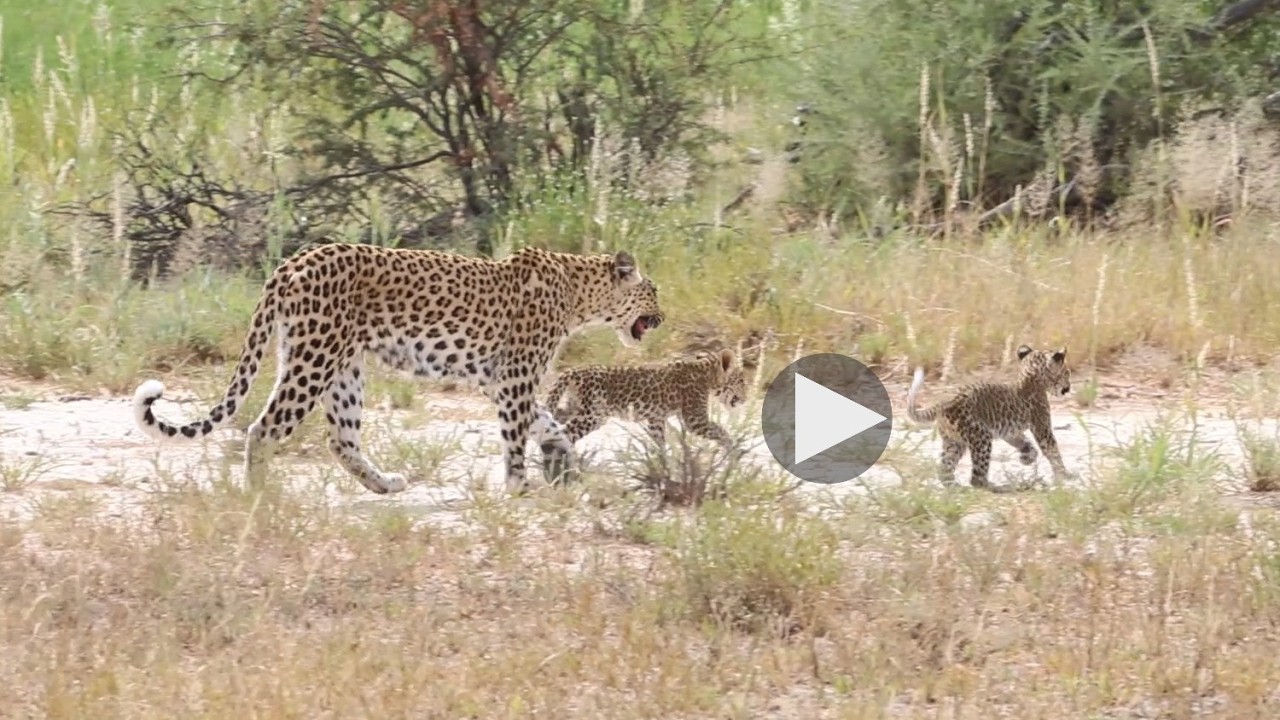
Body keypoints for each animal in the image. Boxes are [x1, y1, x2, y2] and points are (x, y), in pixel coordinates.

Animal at [132, 242, 664, 495]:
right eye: (653, 291)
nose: (662, 316)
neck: (580, 294)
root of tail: (293, 260)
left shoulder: (498, 382)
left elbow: (546, 423)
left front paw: (564, 464)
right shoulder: (514, 379)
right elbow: (516, 435)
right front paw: (519, 485)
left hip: (341, 367)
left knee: (342, 439)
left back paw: (385, 484)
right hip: (314, 360)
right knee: (262, 430)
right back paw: (263, 498)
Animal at [544, 348, 747, 451]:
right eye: (741, 381)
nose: (746, 398)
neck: (706, 373)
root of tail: (574, 370)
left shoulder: (655, 419)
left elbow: (660, 443)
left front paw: (665, 465)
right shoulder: (696, 420)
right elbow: (720, 431)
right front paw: (732, 448)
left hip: (575, 408)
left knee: (556, 422)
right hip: (592, 416)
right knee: (564, 434)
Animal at [906, 344, 1075, 492]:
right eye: (1066, 373)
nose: (1068, 388)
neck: (1031, 378)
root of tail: (943, 403)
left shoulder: (1010, 432)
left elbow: (1024, 442)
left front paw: (1027, 458)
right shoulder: (1041, 426)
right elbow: (1052, 450)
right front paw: (1065, 474)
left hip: (954, 442)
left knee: (944, 469)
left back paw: (956, 487)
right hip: (981, 437)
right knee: (977, 479)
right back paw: (1002, 487)